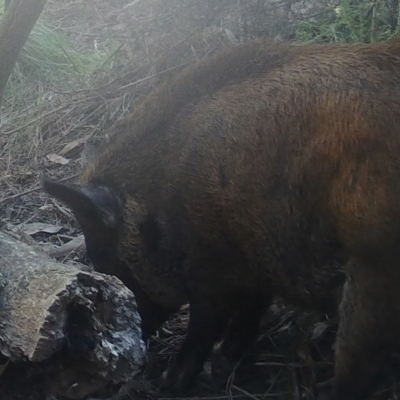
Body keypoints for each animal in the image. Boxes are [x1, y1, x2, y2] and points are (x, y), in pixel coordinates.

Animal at [43, 36, 400, 398]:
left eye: (110, 262)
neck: (160, 199)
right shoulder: (249, 265)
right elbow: (247, 312)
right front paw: (224, 361)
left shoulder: (214, 269)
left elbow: (204, 325)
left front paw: (174, 383)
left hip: (372, 267)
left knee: (359, 359)